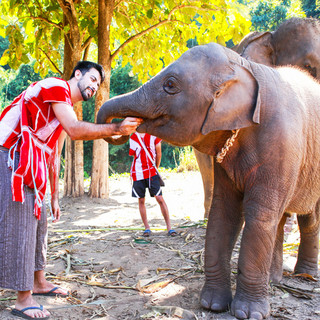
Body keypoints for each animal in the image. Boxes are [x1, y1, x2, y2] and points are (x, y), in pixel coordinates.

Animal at [97, 43, 320, 320]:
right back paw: (274, 281)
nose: (126, 125)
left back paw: (305, 276)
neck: (246, 67)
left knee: (307, 218)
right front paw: (212, 305)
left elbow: (259, 216)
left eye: (170, 84)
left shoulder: (281, 143)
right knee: (279, 220)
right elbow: (223, 212)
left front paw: (248, 313)